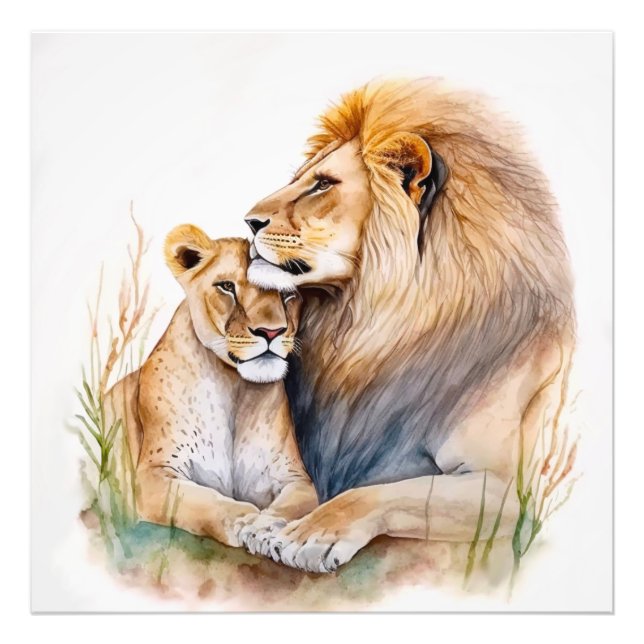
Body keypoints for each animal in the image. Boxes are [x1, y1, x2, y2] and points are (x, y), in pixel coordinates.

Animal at [106, 225, 318, 547]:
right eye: (227, 287)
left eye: (287, 293)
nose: (271, 332)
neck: (234, 388)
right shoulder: (152, 476)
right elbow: (204, 500)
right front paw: (243, 520)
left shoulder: (295, 478)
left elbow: (292, 505)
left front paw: (265, 525)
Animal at [242, 78, 576, 573]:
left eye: (322, 185)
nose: (247, 222)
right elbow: (306, 490)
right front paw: (268, 521)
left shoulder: (512, 493)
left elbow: (383, 493)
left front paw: (311, 534)